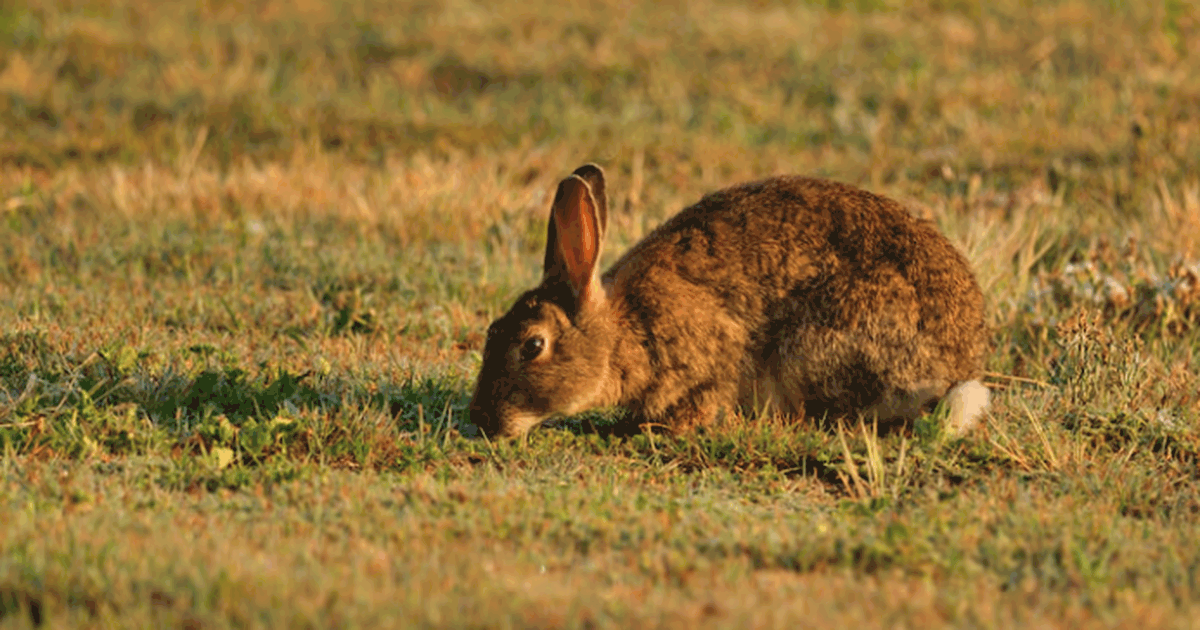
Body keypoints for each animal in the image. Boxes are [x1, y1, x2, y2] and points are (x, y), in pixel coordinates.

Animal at [469, 163, 990, 438]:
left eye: (532, 346)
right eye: (492, 332)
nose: (484, 421)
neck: (622, 332)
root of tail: (956, 368)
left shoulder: (709, 359)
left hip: (816, 347)